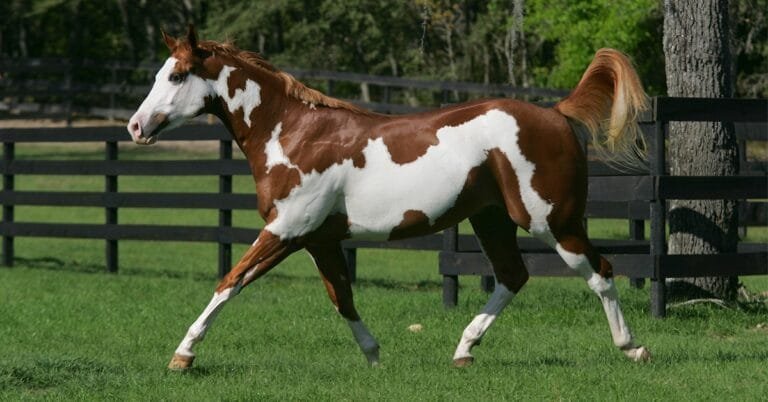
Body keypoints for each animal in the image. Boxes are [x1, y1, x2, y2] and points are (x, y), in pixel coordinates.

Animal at [127, 26, 651, 370]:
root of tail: (557, 113)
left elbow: (230, 282)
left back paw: (633, 348)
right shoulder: (319, 239)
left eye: (176, 77)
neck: (293, 134)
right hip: (492, 219)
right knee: (512, 276)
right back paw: (464, 351)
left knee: (600, 272)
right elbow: (342, 297)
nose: (135, 127)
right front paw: (375, 356)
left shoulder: (286, 230)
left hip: (552, 221)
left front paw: (183, 354)